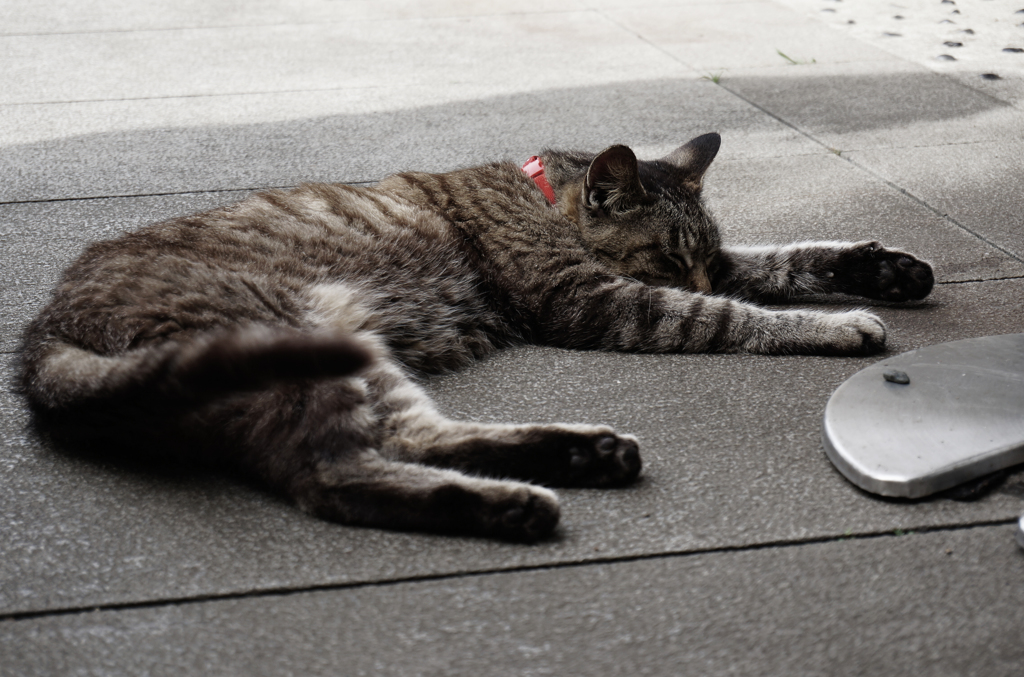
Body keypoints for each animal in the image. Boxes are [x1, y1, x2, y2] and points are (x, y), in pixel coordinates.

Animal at [19, 134, 937, 540]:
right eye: (671, 256)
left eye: (701, 254)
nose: (698, 273)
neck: (543, 196)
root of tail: (39, 340)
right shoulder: (599, 301)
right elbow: (735, 315)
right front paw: (834, 323)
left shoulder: (695, 274)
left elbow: (781, 261)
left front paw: (882, 269)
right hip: (301, 338)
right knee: (334, 477)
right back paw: (515, 502)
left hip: (360, 357)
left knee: (409, 438)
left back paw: (578, 457)